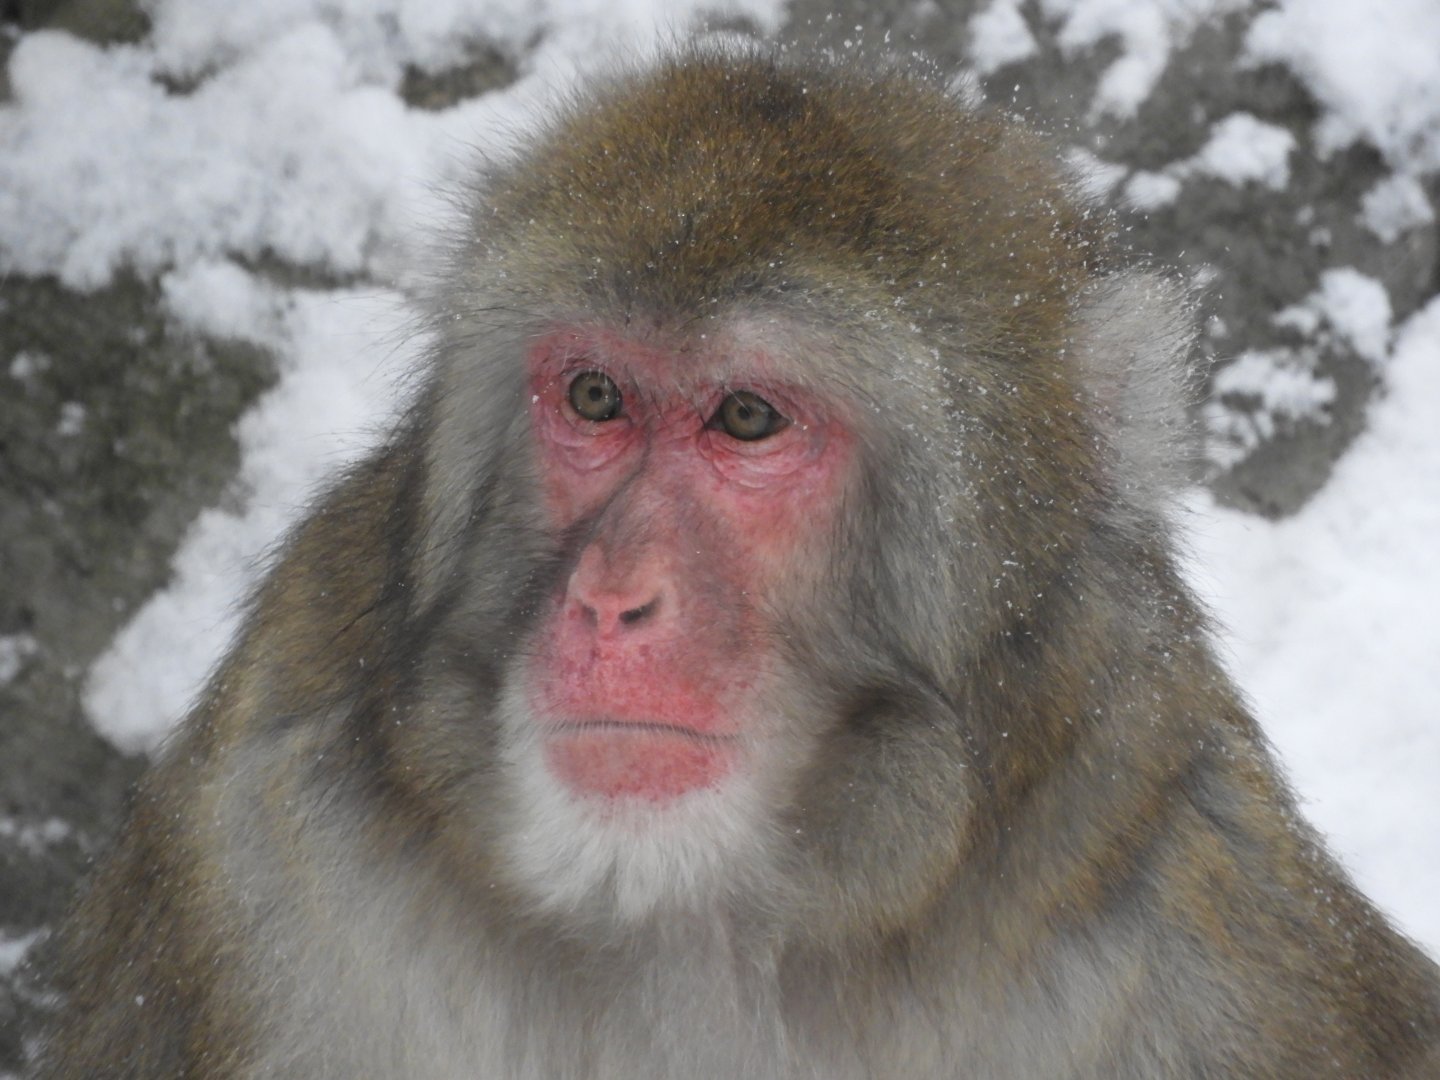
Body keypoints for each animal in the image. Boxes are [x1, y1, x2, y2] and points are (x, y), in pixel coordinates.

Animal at [36, 45, 1440, 1080]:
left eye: (749, 419)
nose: (612, 600)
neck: (690, 915)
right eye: (596, 398)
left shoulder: (1202, 918)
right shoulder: (253, 850)